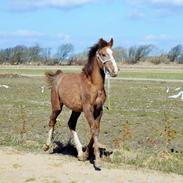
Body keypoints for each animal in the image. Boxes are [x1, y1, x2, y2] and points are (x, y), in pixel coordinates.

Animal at [44, 37, 118, 170]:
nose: (115, 71)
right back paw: (46, 146)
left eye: (112, 53)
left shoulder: (99, 110)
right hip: (57, 106)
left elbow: (96, 129)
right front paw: (97, 161)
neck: (94, 85)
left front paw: (86, 154)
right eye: (103, 54)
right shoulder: (88, 109)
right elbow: (94, 129)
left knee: (71, 124)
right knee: (52, 121)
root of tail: (58, 76)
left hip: (76, 110)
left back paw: (79, 153)